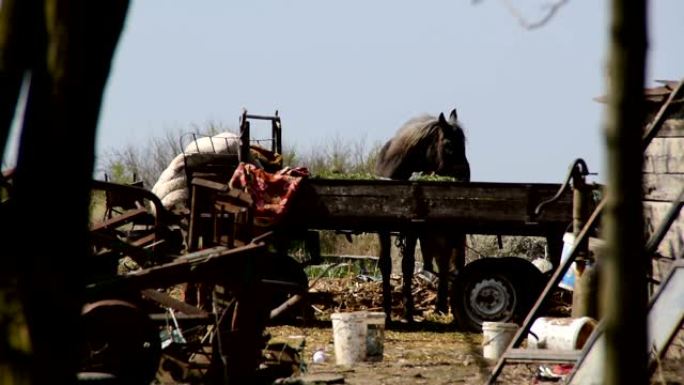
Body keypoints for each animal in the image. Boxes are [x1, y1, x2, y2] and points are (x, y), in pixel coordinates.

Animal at [374, 108, 470, 320]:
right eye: (449, 145)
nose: (466, 177)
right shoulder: (383, 230)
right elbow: (386, 264)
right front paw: (387, 310)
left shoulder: (411, 231)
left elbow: (408, 265)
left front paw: (408, 310)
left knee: (446, 262)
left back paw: (441, 306)